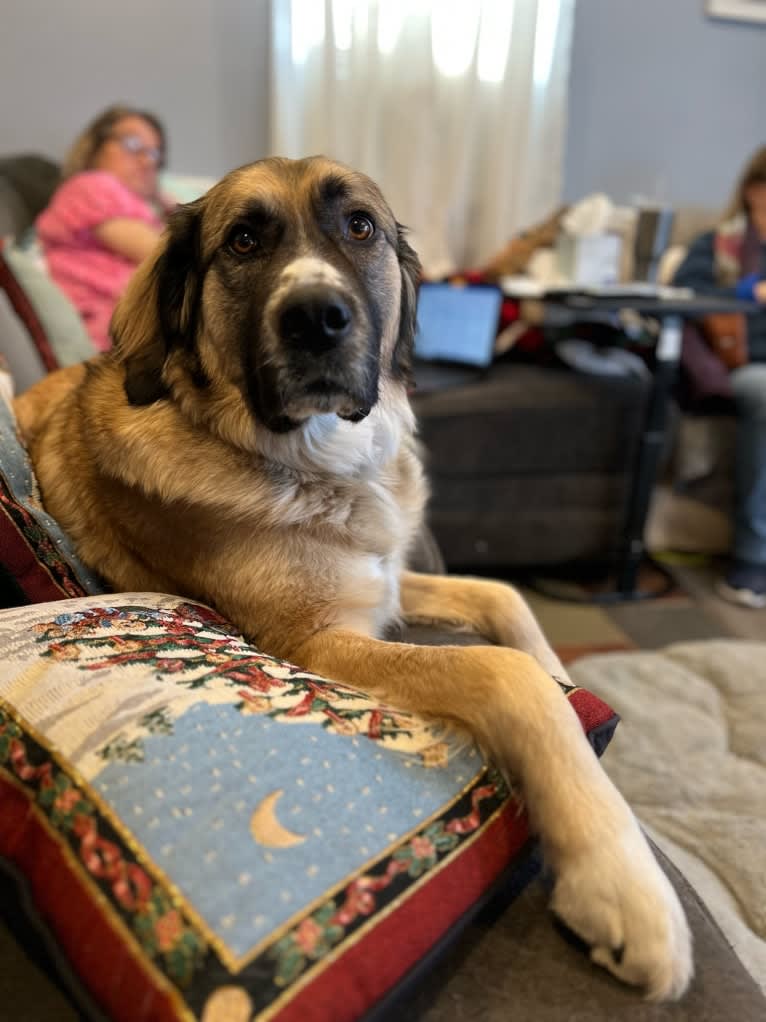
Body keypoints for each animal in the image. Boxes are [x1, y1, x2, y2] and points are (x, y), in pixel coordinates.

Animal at [15, 157, 694, 997]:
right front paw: (619, 880)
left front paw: (563, 670)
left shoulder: (388, 581)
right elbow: (509, 678)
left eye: (360, 226)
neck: (318, 461)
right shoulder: (316, 642)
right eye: (244, 241)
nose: (316, 319)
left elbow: (504, 599)